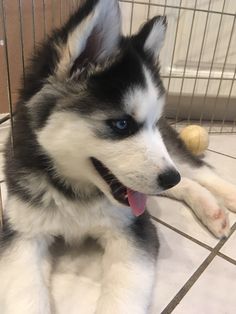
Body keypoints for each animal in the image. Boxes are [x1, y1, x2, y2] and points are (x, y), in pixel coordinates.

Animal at [0, 0, 236, 314]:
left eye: (151, 121)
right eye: (122, 124)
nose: (169, 178)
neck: (77, 192)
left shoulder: (134, 230)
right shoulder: (22, 234)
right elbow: (24, 295)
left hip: (170, 154)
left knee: (199, 171)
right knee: (185, 181)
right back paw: (211, 209)